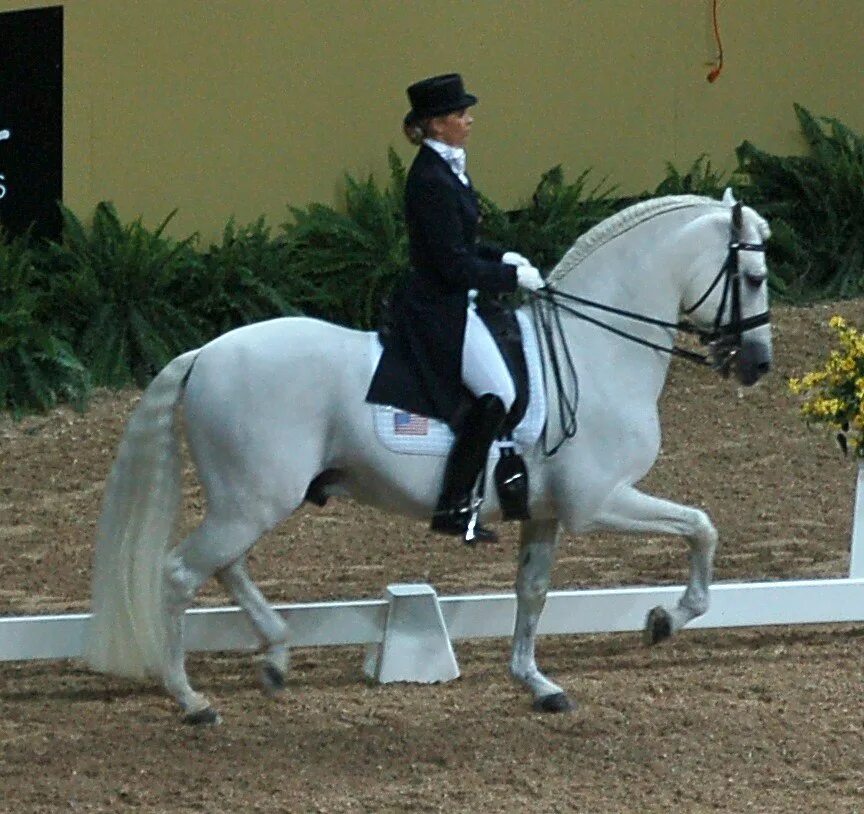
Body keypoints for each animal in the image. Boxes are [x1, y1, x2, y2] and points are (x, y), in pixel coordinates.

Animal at [84, 191, 772, 728]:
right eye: (754, 278)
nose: (758, 365)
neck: (593, 350)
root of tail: (204, 353)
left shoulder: (545, 512)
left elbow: (533, 591)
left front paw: (537, 683)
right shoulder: (597, 502)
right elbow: (702, 527)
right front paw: (664, 620)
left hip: (247, 500)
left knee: (226, 567)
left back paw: (276, 656)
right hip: (253, 501)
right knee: (181, 573)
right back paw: (192, 701)